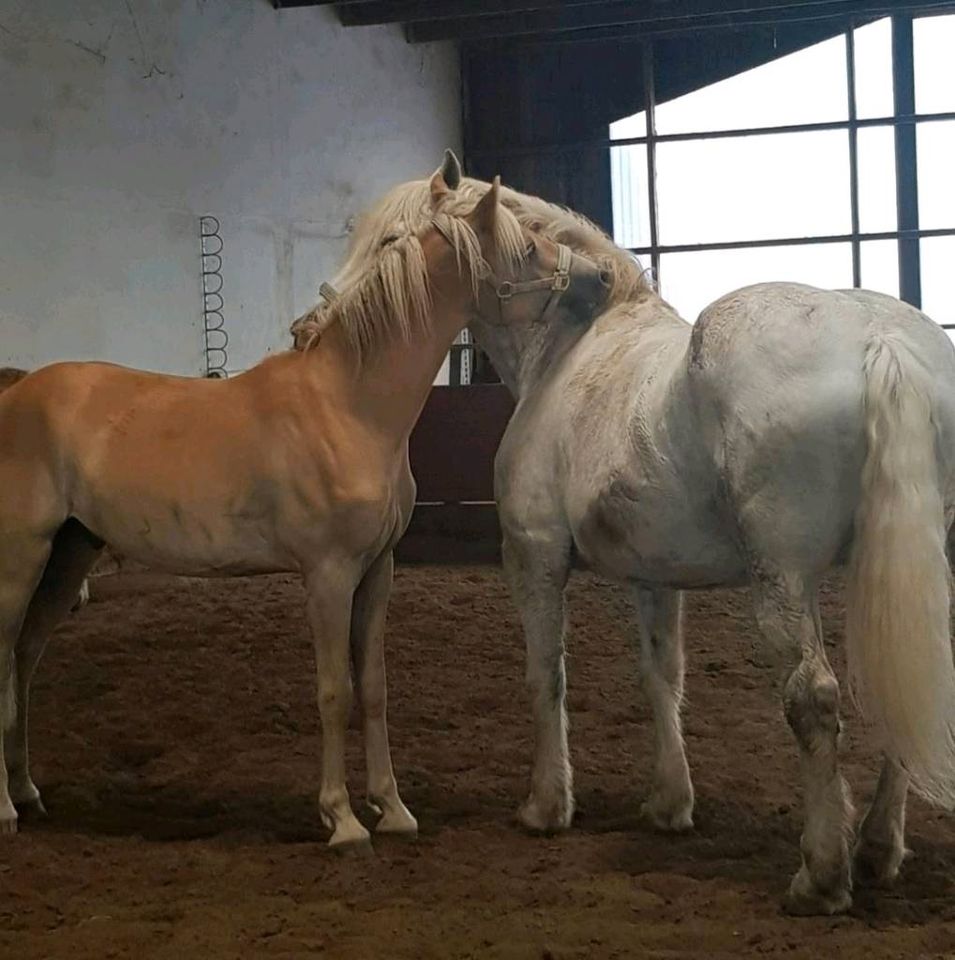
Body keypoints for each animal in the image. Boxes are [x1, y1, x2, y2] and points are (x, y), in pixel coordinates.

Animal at [0, 180, 612, 848]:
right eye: (526, 248)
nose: (602, 279)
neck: (347, 406)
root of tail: (15, 393)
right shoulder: (328, 575)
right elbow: (333, 692)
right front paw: (341, 819)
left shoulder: (377, 572)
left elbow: (373, 688)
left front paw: (391, 808)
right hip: (20, 563)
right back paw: (5, 812)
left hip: (66, 558)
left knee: (23, 663)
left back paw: (27, 793)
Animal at [304, 150, 955, 916]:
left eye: (387, 241)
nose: (312, 323)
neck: (570, 347)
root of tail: (879, 339)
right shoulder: (655, 575)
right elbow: (661, 677)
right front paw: (669, 804)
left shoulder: (533, 556)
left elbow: (546, 675)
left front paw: (546, 806)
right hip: (896, 569)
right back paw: (878, 848)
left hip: (786, 579)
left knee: (814, 698)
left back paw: (820, 877)